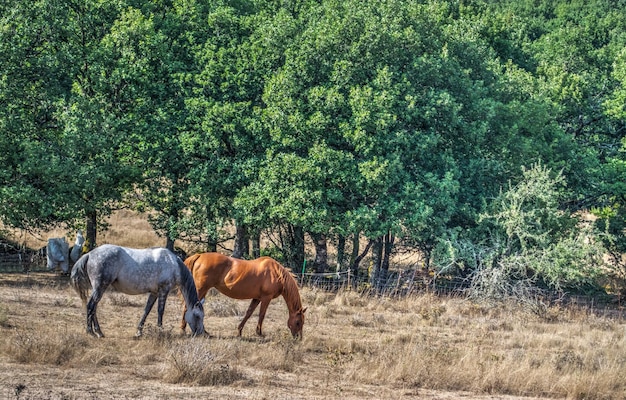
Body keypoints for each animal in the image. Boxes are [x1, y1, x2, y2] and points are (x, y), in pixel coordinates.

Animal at [71, 244, 204, 338]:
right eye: (197, 316)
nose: (201, 333)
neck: (173, 264)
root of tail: (90, 254)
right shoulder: (163, 291)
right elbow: (160, 311)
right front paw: (160, 331)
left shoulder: (154, 293)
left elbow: (147, 310)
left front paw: (139, 332)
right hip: (100, 287)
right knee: (91, 306)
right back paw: (92, 332)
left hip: (99, 289)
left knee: (94, 308)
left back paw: (99, 332)